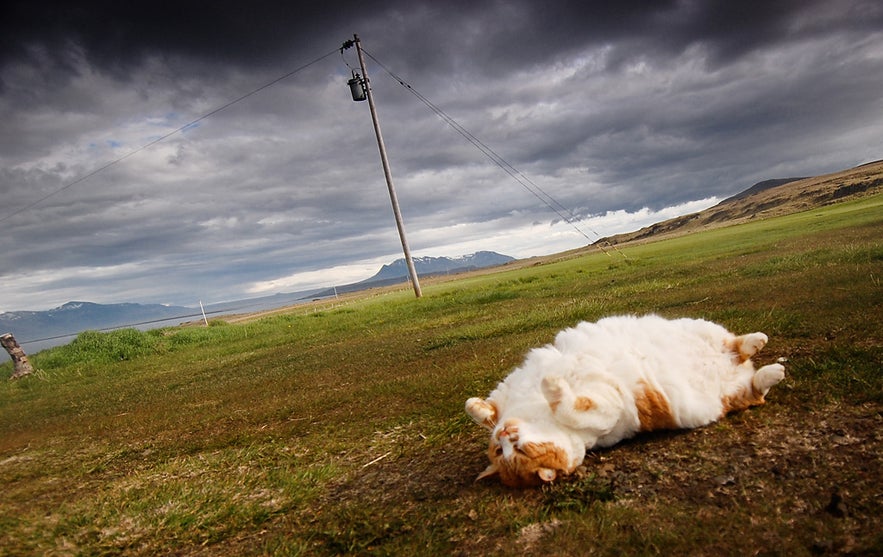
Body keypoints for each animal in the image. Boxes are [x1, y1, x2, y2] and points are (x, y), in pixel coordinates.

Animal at [466, 312, 784, 486]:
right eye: (504, 453)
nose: (505, 434)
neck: (535, 414)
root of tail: (739, 368)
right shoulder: (608, 408)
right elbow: (570, 406)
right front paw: (554, 386)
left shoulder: (512, 386)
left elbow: (483, 407)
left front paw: (482, 407)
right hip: (733, 397)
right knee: (756, 390)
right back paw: (772, 371)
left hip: (697, 327)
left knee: (734, 344)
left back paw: (756, 341)